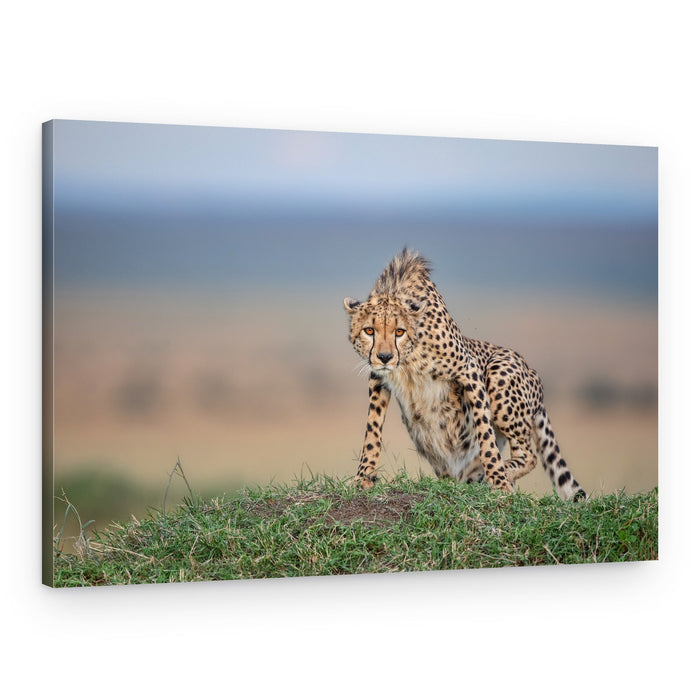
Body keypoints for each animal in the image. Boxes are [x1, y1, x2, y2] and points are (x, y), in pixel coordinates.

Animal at [343, 248, 586, 501]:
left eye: (399, 332)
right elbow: (372, 431)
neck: (408, 360)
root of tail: (534, 373)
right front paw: (363, 477)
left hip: (500, 371)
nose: (385, 357)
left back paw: (501, 472)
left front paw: (499, 480)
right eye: (369, 330)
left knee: (528, 455)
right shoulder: (378, 379)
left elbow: (485, 435)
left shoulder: (470, 371)